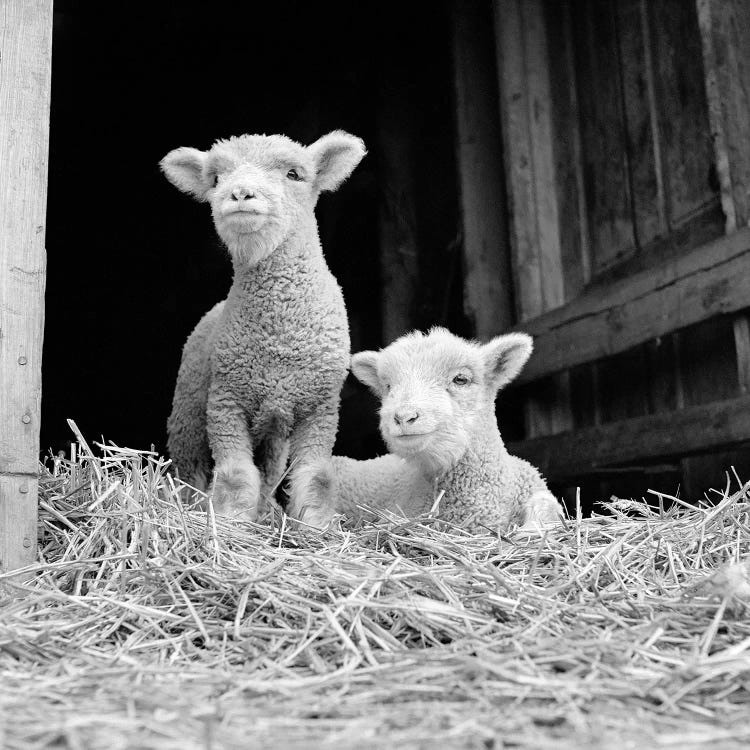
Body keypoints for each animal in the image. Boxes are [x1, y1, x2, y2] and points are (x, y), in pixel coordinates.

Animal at [162, 129, 368, 520]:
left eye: (293, 174)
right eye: (215, 179)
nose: (241, 193)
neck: (279, 335)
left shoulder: (321, 407)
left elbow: (316, 477)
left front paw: (315, 525)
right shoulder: (226, 401)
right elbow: (234, 476)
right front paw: (230, 522)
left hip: (273, 430)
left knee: (270, 470)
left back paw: (266, 510)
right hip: (189, 411)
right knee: (188, 467)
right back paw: (192, 506)